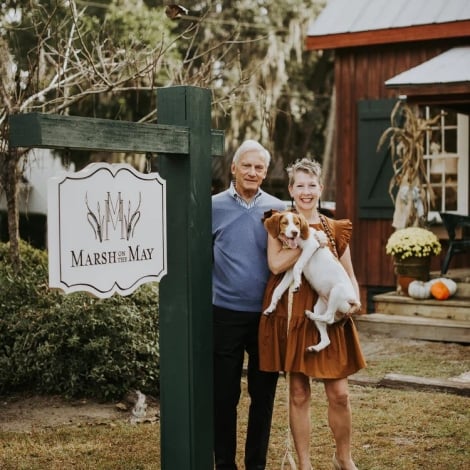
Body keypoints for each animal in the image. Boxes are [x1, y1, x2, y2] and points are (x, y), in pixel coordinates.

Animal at [262, 211, 358, 350]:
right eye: (285, 223)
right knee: (326, 337)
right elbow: (278, 289)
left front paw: (297, 284)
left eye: (297, 223)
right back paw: (316, 347)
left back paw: (310, 315)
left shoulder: (311, 246)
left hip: (337, 291)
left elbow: (298, 266)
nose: (295, 232)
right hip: (321, 305)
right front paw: (271, 307)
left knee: (329, 318)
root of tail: (353, 301)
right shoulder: (290, 270)